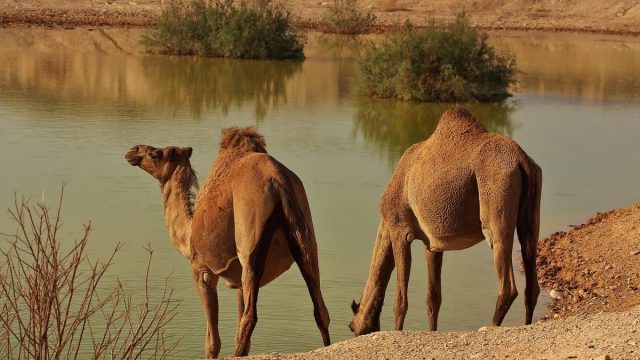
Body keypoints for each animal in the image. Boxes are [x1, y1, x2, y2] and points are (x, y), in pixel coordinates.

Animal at [127, 126, 332, 358]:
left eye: (155, 154)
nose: (133, 150)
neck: (187, 235)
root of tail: (278, 181)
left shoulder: (202, 270)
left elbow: (212, 341)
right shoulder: (238, 279)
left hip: (249, 238)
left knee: (250, 317)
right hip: (305, 235)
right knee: (320, 308)